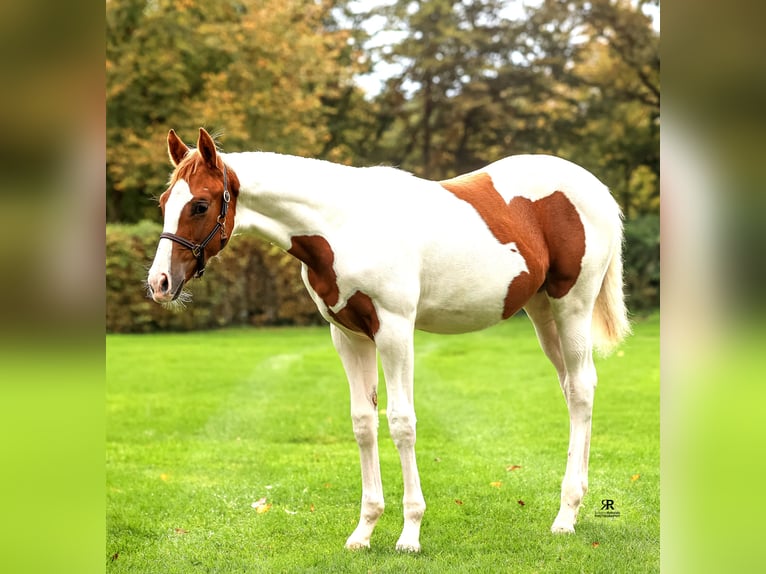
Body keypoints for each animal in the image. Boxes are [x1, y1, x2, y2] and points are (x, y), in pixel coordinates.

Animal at [146, 127, 632, 552]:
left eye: (200, 205)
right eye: (165, 201)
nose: (159, 283)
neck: (343, 225)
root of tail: (594, 187)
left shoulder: (395, 330)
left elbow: (401, 423)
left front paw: (409, 534)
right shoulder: (348, 336)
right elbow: (364, 423)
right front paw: (364, 531)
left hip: (572, 305)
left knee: (581, 390)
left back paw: (566, 516)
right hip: (542, 312)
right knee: (575, 388)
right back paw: (575, 503)